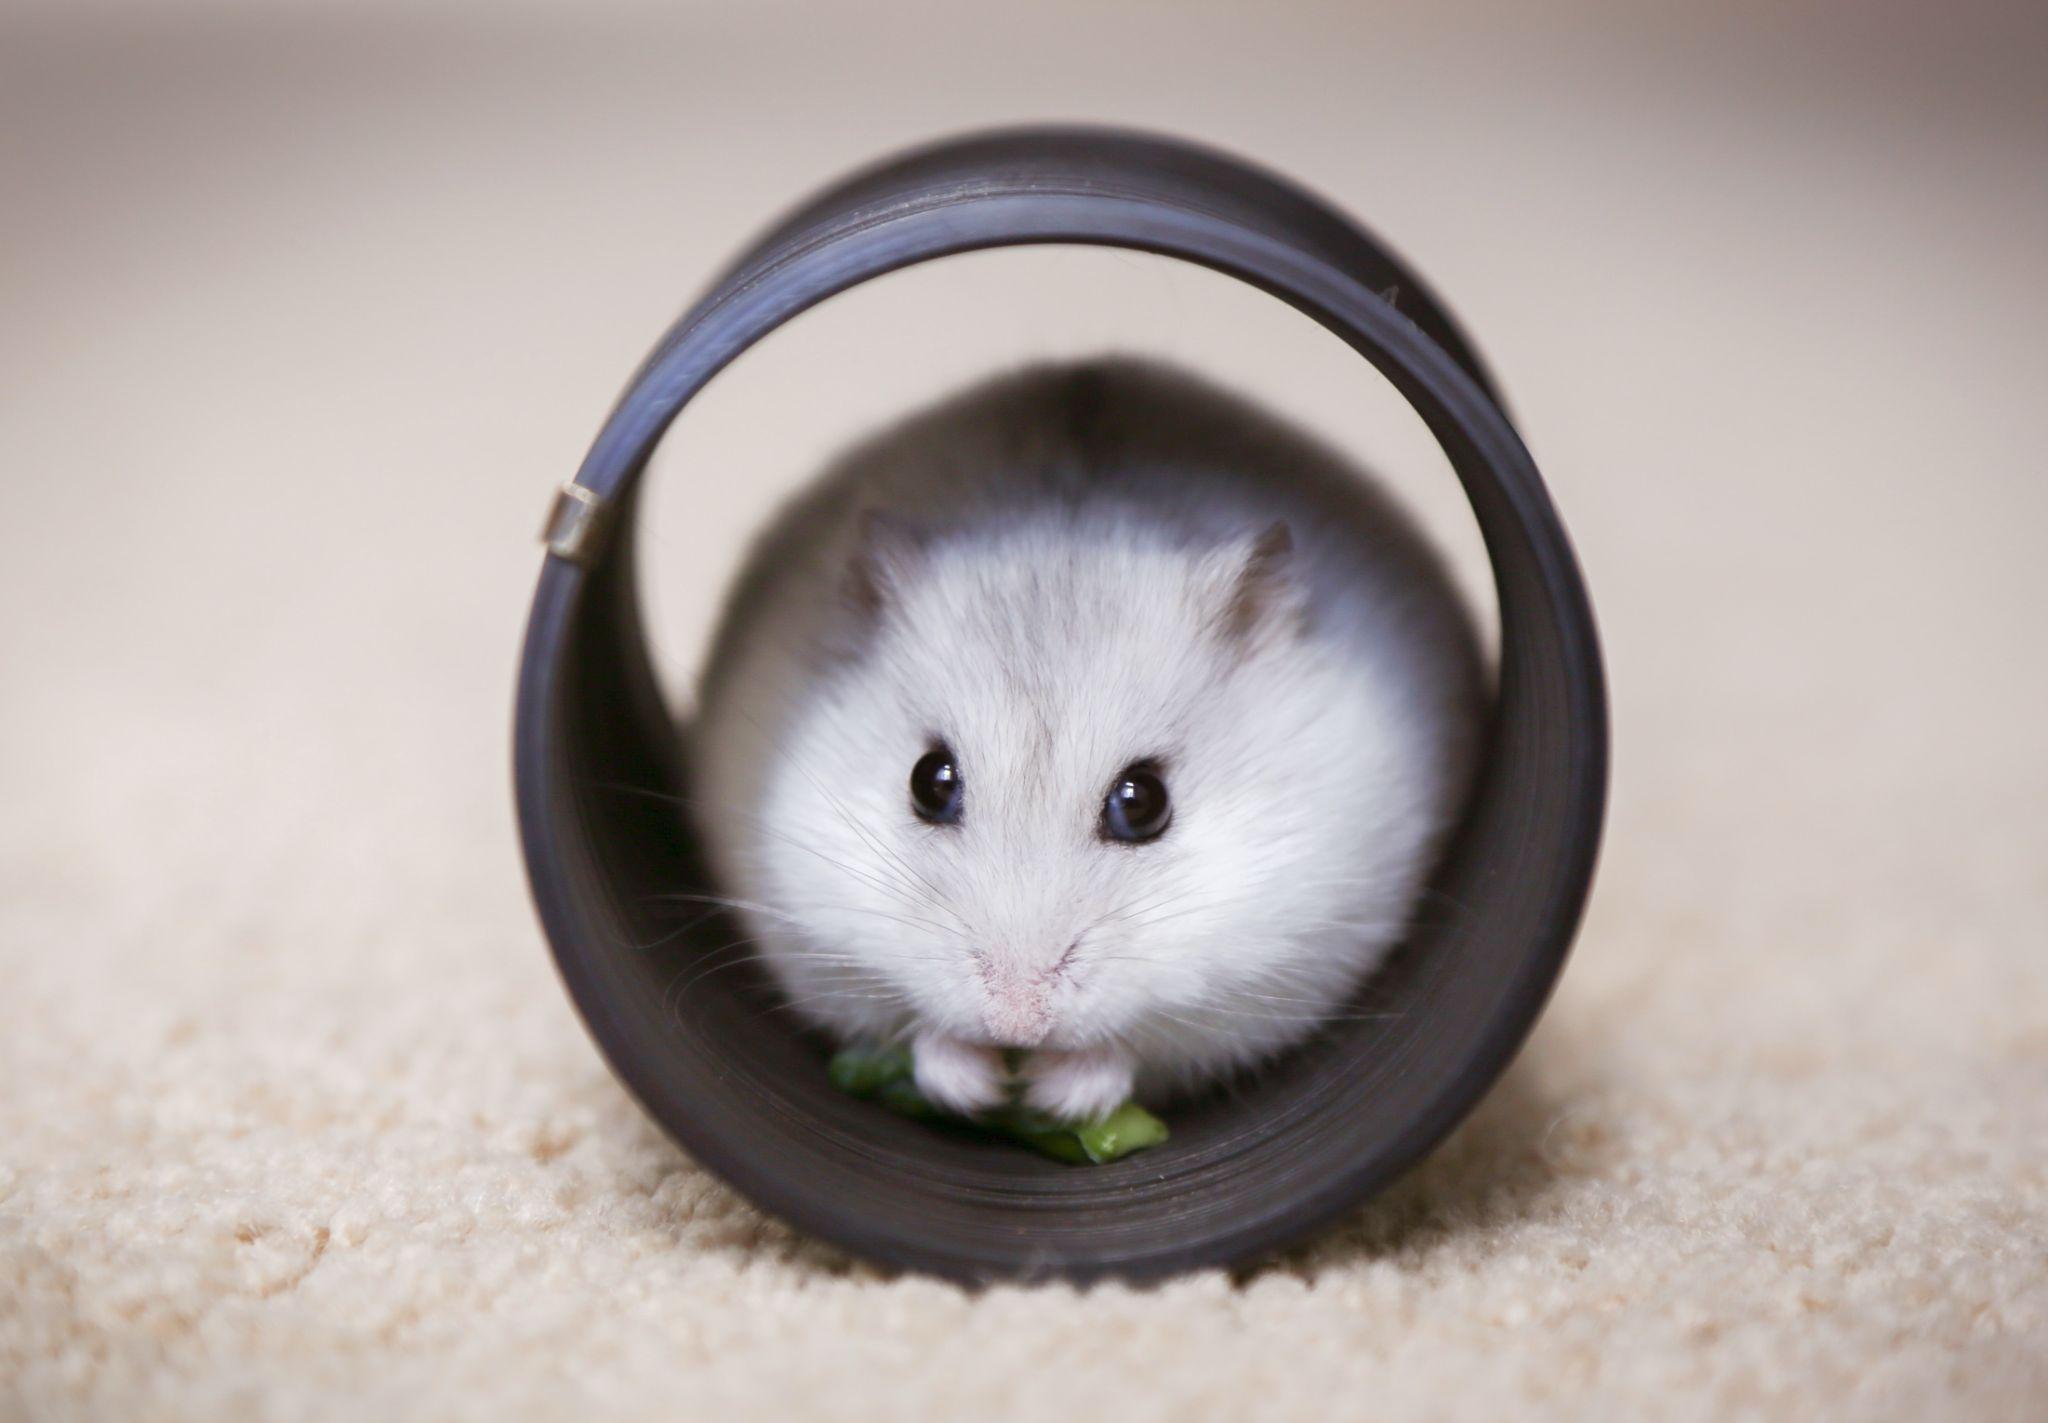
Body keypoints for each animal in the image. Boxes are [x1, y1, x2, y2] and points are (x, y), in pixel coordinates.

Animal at [687, 358, 1483, 1123]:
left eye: (1144, 802)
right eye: (928, 782)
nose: (1016, 1022)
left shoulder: (1281, 961)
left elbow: (1140, 1047)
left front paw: (1055, 1093)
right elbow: (917, 1033)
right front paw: (976, 1085)